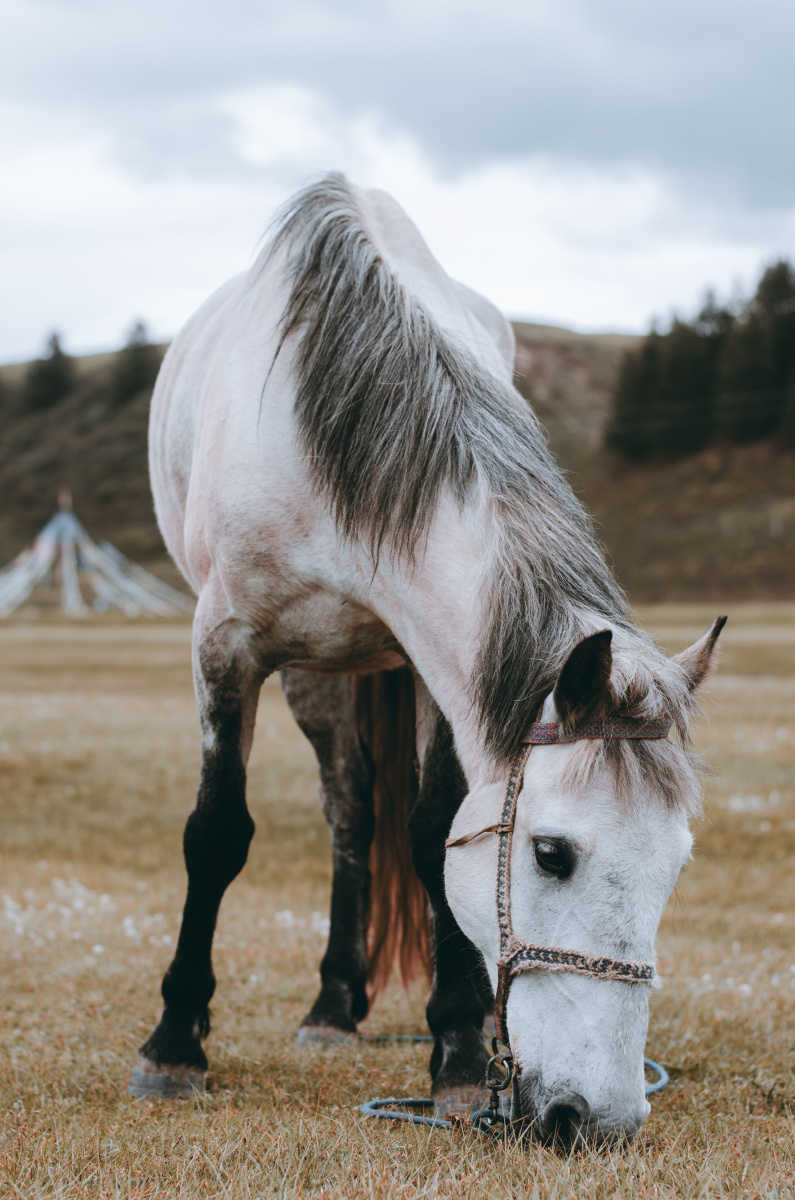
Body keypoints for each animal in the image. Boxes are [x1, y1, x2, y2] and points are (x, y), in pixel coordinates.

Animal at [139, 172, 724, 1145]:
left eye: (677, 863)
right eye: (551, 854)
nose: (597, 1120)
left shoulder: (433, 670)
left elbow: (431, 829)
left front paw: (454, 1053)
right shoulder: (225, 646)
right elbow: (216, 834)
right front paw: (174, 1044)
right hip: (314, 677)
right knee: (345, 812)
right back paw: (331, 1008)